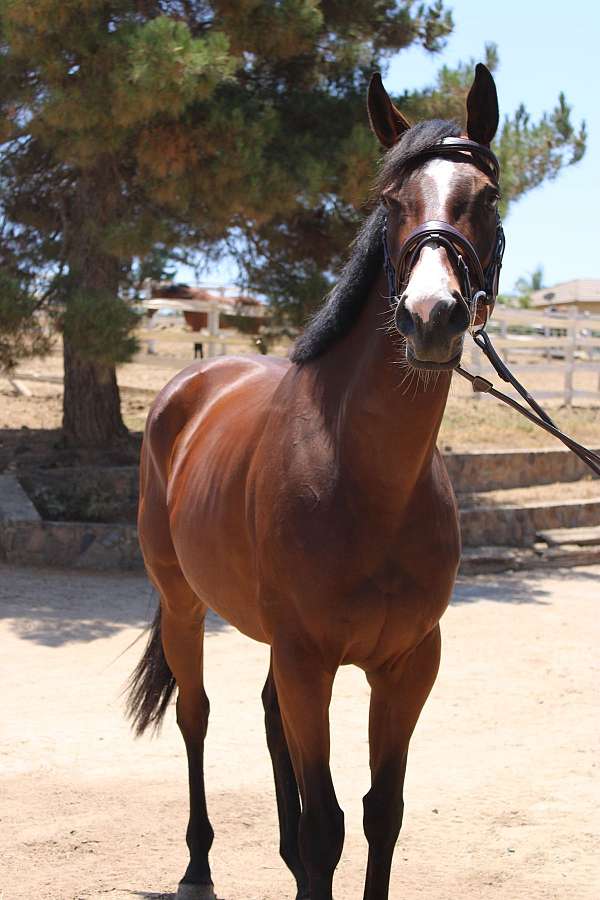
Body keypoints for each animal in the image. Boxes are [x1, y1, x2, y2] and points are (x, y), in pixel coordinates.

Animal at [128, 63, 503, 900]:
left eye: (486, 197)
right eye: (391, 202)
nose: (431, 316)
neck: (367, 483)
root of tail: (191, 383)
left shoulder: (406, 665)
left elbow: (380, 814)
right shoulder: (309, 659)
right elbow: (327, 824)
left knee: (271, 723)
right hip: (185, 605)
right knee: (197, 716)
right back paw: (197, 865)